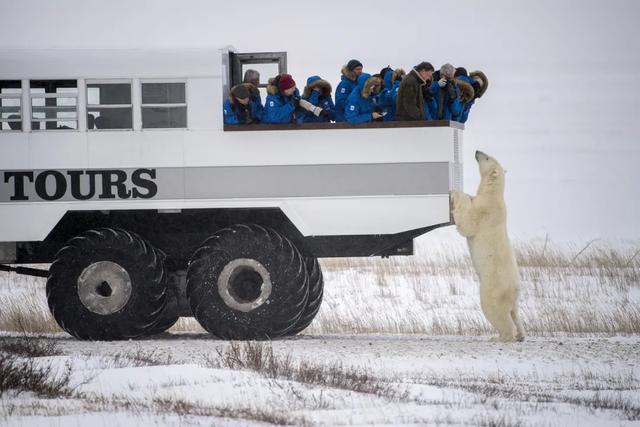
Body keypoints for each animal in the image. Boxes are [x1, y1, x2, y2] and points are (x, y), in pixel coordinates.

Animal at [450, 152, 524, 342]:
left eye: (488, 158)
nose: (477, 151)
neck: (493, 194)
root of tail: (514, 290)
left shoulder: (485, 210)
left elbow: (468, 225)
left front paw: (456, 193)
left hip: (493, 287)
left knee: (495, 310)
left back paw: (501, 337)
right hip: (512, 295)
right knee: (515, 313)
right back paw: (521, 334)